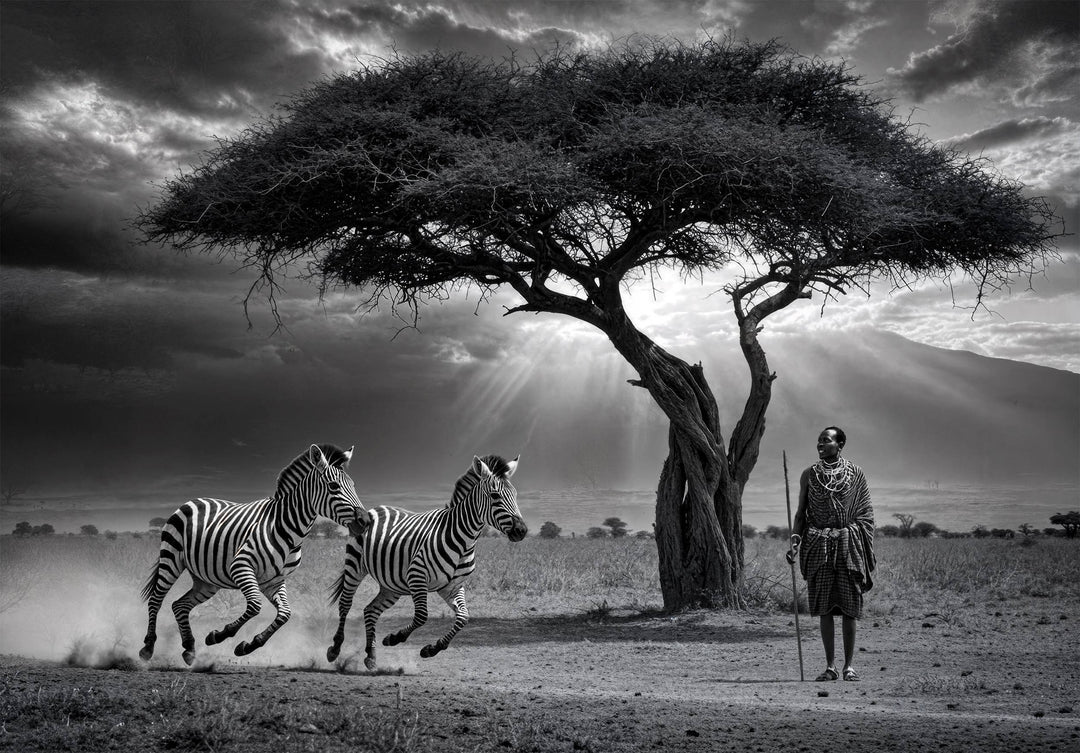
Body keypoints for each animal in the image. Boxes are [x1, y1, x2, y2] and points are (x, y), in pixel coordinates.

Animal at [139, 443, 367, 665]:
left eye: (354, 485)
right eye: (334, 486)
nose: (365, 521)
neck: (286, 528)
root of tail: (193, 500)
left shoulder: (274, 580)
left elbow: (285, 614)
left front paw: (248, 646)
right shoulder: (241, 566)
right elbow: (256, 605)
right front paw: (218, 636)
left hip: (206, 579)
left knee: (179, 605)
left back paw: (189, 648)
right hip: (171, 558)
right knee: (156, 599)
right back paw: (148, 648)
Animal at [325, 454, 527, 669]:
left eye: (515, 495)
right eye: (495, 496)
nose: (522, 531)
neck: (464, 541)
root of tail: (375, 508)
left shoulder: (452, 587)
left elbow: (464, 618)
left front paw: (432, 649)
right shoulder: (417, 575)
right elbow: (422, 616)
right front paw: (395, 638)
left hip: (392, 584)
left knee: (371, 610)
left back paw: (371, 655)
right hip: (355, 564)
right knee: (345, 604)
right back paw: (335, 649)